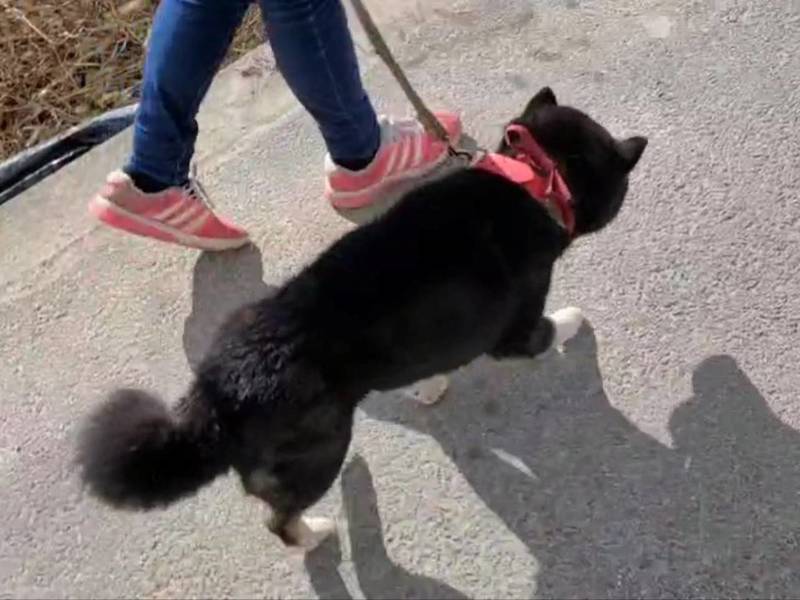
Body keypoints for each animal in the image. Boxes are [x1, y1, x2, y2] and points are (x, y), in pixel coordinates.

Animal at [77, 87, 647, 551]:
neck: (533, 178)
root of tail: (219, 391)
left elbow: (429, 365)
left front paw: (428, 387)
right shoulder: (515, 329)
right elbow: (548, 328)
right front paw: (574, 320)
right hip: (317, 452)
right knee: (280, 520)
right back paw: (316, 533)